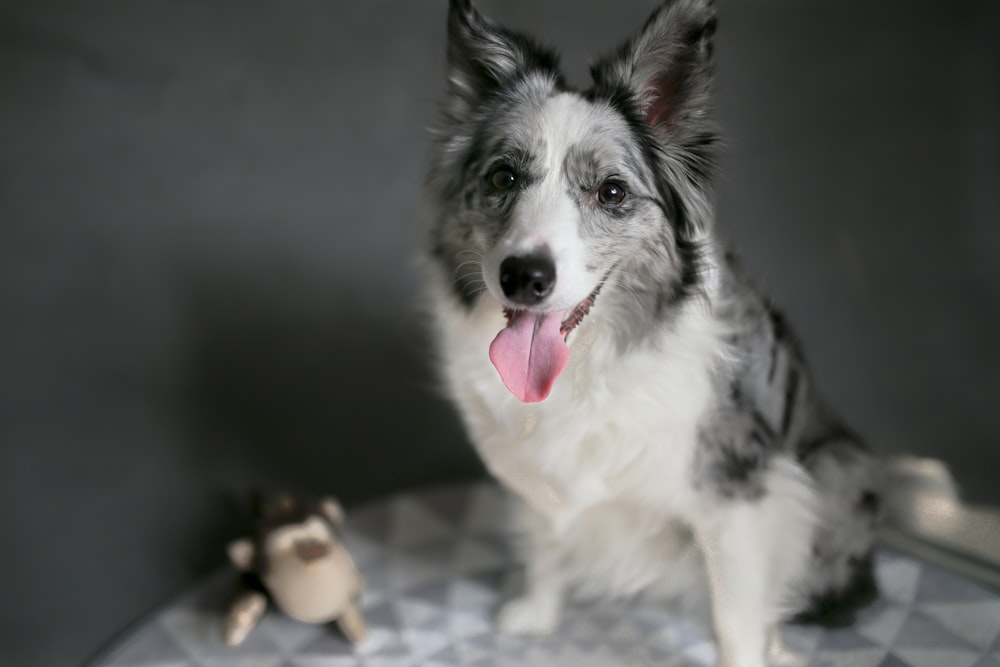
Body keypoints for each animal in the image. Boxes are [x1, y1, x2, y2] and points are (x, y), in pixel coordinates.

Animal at [420, 2, 884, 664]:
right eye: (504, 178)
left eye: (611, 191)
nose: (523, 276)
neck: (587, 366)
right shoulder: (538, 477)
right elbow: (544, 542)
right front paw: (538, 613)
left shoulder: (735, 491)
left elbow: (735, 616)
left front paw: (753, 649)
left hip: (836, 469)